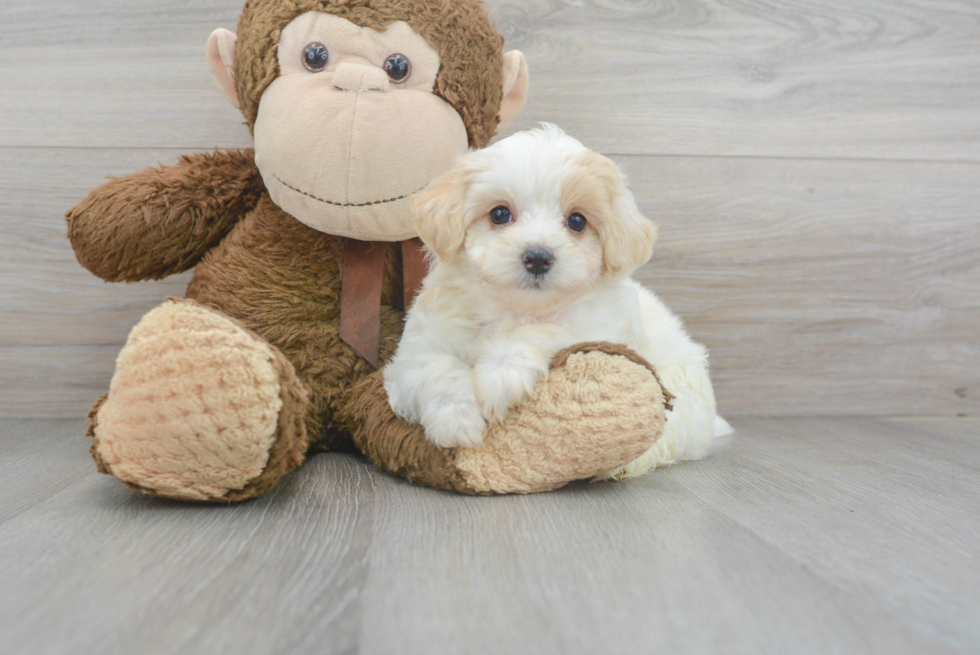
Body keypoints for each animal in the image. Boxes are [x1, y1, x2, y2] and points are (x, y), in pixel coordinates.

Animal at [382, 125, 728, 480]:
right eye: (500, 214)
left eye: (577, 221)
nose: (537, 257)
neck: (513, 310)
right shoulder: (414, 354)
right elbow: (437, 369)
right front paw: (455, 421)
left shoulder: (597, 325)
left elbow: (544, 330)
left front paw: (500, 374)